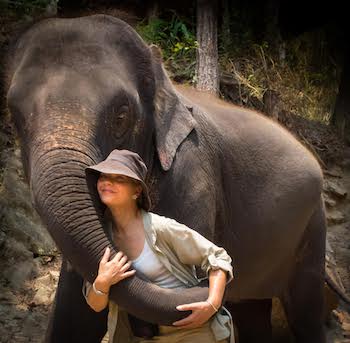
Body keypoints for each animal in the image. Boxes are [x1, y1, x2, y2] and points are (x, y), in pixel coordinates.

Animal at [6, 14, 328, 343]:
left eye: (121, 116)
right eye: (15, 116)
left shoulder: (193, 171)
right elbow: (75, 305)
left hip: (313, 226)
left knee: (306, 309)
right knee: (252, 311)